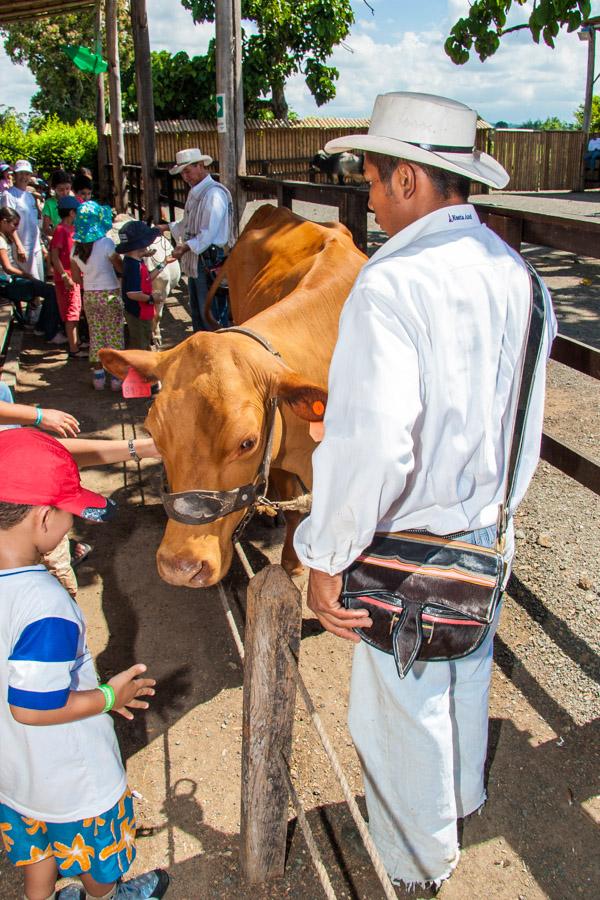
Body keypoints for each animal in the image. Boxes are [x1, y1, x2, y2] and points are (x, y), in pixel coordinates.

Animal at [101, 207, 366, 588]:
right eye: (154, 435)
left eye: (247, 443)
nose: (180, 566)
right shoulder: (280, 457)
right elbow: (294, 511)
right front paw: (292, 564)